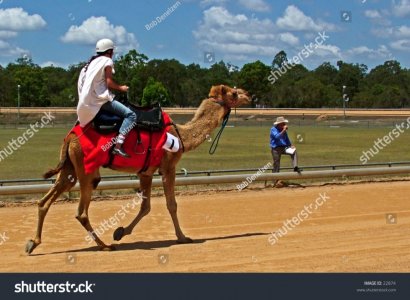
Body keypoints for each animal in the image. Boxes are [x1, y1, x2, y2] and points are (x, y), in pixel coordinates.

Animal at [26, 84, 250, 253]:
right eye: (233, 93)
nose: (248, 95)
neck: (180, 135)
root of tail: (70, 136)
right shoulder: (168, 167)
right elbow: (171, 204)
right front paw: (183, 237)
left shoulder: (146, 172)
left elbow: (146, 206)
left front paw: (120, 232)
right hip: (86, 169)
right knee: (81, 212)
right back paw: (104, 245)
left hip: (70, 168)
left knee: (44, 202)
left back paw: (32, 243)